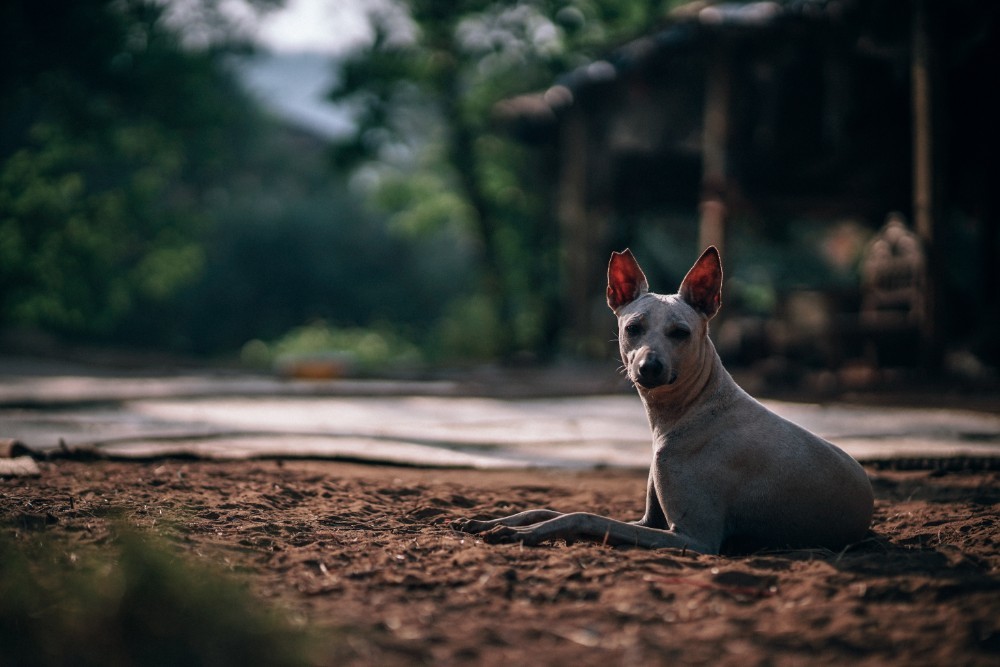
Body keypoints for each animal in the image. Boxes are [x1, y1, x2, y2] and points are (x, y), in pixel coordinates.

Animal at [458, 248, 872, 556]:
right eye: (632, 328)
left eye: (680, 333)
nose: (649, 367)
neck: (692, 411)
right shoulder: (649, 522)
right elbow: (547, 507)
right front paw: (494, 520)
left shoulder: (695, 539)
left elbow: (584, 516)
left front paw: (522, 534)